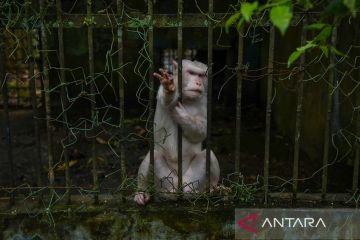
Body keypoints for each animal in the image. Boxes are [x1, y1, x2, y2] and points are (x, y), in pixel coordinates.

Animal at [134, 59, 221, 204]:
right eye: (191, 73)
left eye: (201, 75)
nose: (198, 83)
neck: (186, 98)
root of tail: (178, 188)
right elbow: (166, 99)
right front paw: (169, 87)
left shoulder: (203, 100)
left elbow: (201, 131)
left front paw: (182, 116)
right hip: (164, 182)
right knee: (153, 155)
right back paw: (142, 192)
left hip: (193, 181)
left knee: (208, 155)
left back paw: (212, 189)